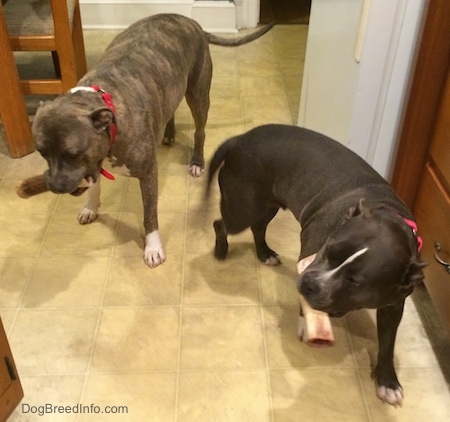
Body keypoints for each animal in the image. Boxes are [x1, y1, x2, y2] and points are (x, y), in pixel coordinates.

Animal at [31, 14, 274, 268]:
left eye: (72, 154)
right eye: (41, 152)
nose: (54, 186)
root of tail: (190, 21)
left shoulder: (147, 172)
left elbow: (149, 214)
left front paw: (153, 248)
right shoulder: (94, 162)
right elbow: (94, 185)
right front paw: (90, 206)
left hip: (197, 94)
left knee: (200, 131)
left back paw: (196, 162)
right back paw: (168, 133)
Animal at [207, 123, 426, 408]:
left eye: (356, 282)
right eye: (328, 249)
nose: (309, 283)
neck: (387, 213)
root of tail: (239, 139)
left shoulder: (393, 305)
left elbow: (388, 344)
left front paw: (388, 382)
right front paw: (305, 324)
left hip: (268, 205)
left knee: (258, 227)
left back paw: (265, 253)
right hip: (242, 208)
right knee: (221, 224)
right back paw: (221, 251)